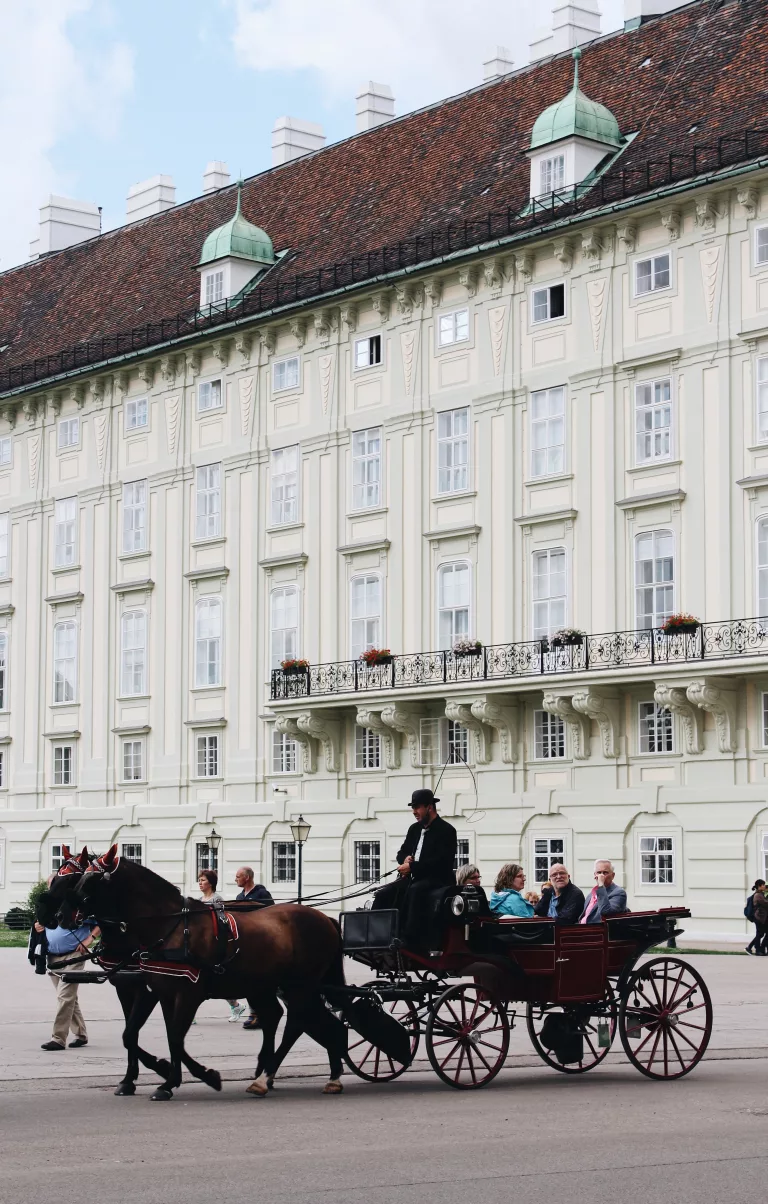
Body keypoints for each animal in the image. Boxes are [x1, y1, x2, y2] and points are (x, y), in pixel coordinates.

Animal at [70, 847, 346, 1102]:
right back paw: (316, 1074)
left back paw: (268, 1077)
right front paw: (172, 1076)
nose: (66, 913)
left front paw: (189, 1077)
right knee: (291, 1019)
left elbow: (175, 1038)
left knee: (296, 1023)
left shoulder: (186, 994)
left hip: (299, 986)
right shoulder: (163, 992)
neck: (172, 927)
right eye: (81, 875)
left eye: (94, 878)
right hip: (269, 986)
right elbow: (155, 1036)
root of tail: (326, 919)